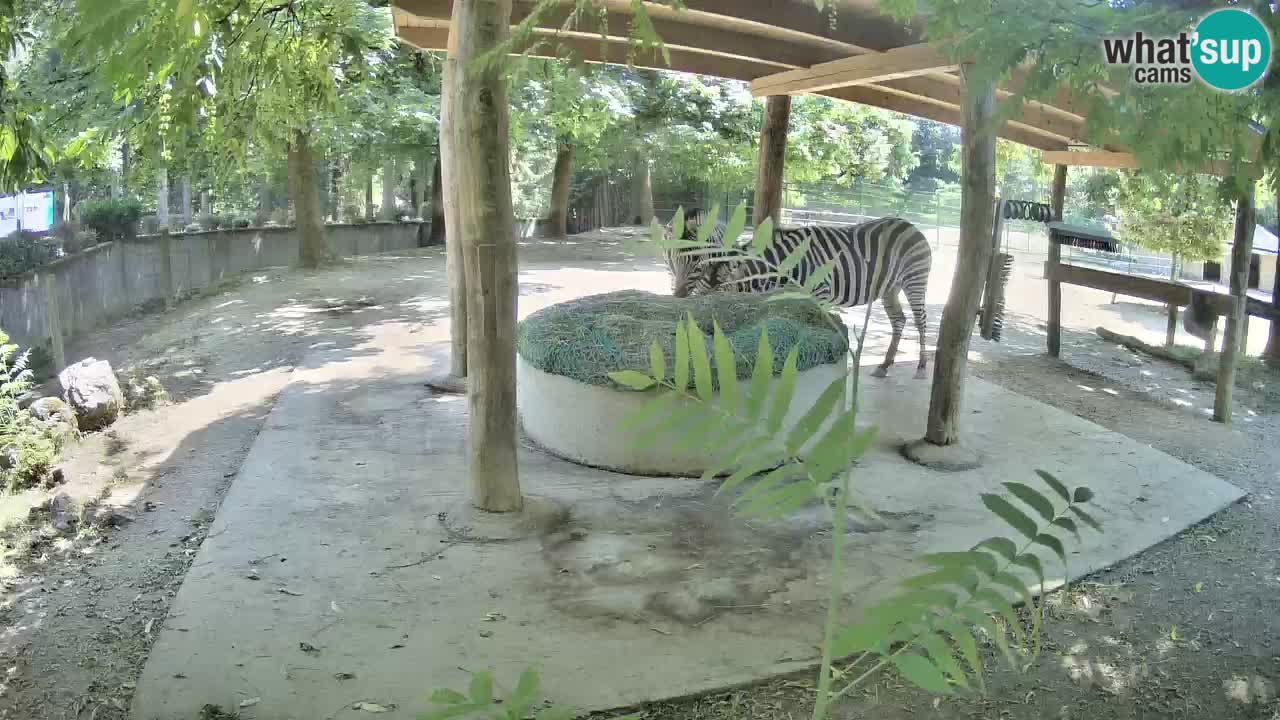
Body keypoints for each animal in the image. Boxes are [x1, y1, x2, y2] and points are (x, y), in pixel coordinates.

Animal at [661, 213, 933, 379]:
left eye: (718, 300)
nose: (679, 298)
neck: (782, 267)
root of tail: (910, 224)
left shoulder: (820, 294)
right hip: (890, 288)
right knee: (899, 320)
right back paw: (885, 366)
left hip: (914, 280)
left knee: (921, 321)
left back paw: (921, 367)